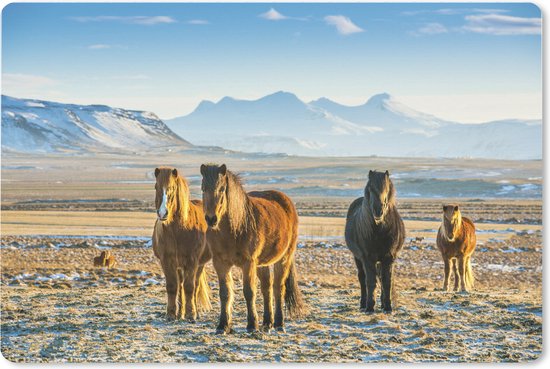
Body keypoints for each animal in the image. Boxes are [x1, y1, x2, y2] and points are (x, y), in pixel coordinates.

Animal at [153, 167, 213, 320]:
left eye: (172, 188)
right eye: (156, 186)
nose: (162, 213)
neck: (177, 231)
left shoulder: (192, 261)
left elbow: (190, 287)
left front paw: (191, 314)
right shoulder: (166, 260)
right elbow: (172, 286)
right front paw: (170, 314)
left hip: (199, 264)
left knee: (195, 286)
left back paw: (194, 312)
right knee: (180, 286)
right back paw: (180, 313)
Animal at [201, 164, 308, 334]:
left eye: (222, 189)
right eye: (203, 188)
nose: (211, 219)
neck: (235, 228)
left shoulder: (248, 263)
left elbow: (249, 292)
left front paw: (252, 325)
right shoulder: (220, 263)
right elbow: (225, 293)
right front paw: (223, 326)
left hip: (283, 259)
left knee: (278, 288)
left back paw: (279, 323)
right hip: (261, 264)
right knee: (267, 287)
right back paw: (267, 323)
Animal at [348, 171, 408, 312]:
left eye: (387, 188)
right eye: (371, 188)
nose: (378, 211)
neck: (379, 231)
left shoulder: (388, 258)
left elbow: (386, 282)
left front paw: (388, 306)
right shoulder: (367, 258)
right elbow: (370, 281)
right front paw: (370, 306)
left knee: (380, 277)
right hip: (357, 258)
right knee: (362, 278)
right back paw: (363, 303)